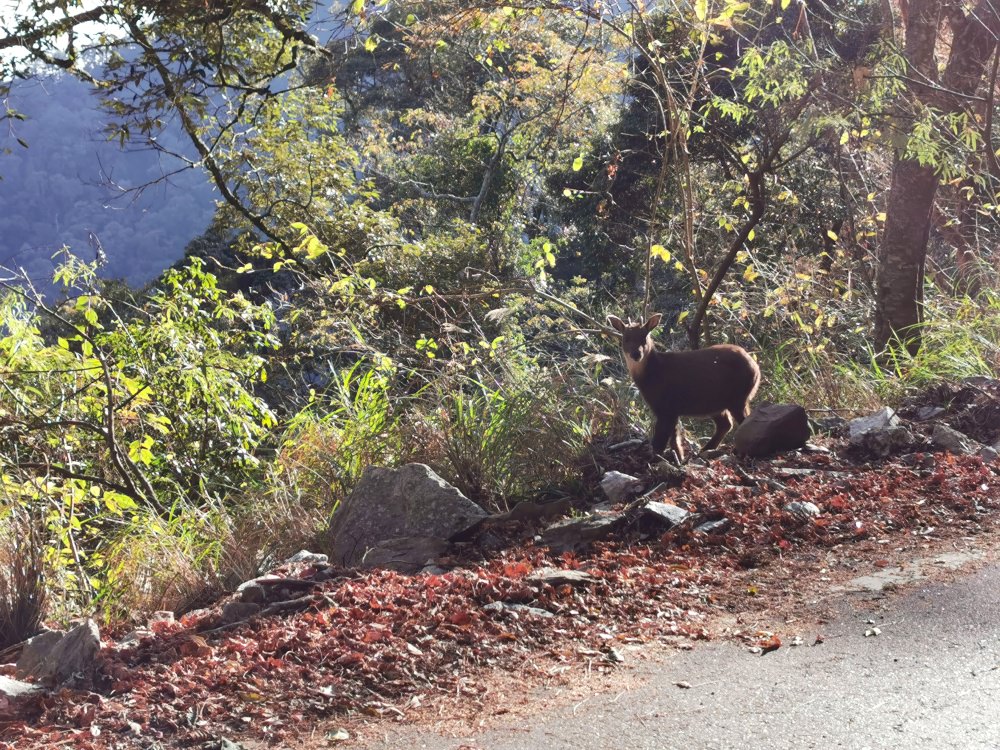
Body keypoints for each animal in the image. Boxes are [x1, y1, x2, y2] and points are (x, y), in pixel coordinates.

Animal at [604, 312, 760, 464]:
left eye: (644, 337)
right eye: (626, 339)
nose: (636, 354)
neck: (653, 375)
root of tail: (756, 368)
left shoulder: (665, 406)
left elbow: (660, 440)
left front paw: (655, 460)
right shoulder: (671, 409)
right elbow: (674, 438)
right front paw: (679, 458)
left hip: (737, 397)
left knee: (743, 422)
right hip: (716, 402)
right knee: (726, 424)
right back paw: (705, 450)